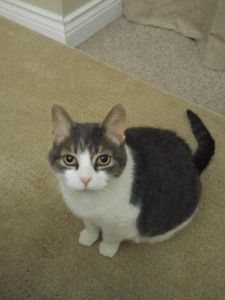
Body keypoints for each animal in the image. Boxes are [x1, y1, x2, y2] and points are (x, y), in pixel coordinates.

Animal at [48, 104, 214, 256]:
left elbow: (111, 236)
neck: (89, 202)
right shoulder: (85, 214)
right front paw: (89, 237)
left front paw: (107, 249)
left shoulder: (123, 221)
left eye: (103, 159)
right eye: (69, 159)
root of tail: (191, 160)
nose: (85, 179)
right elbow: (91, 226)